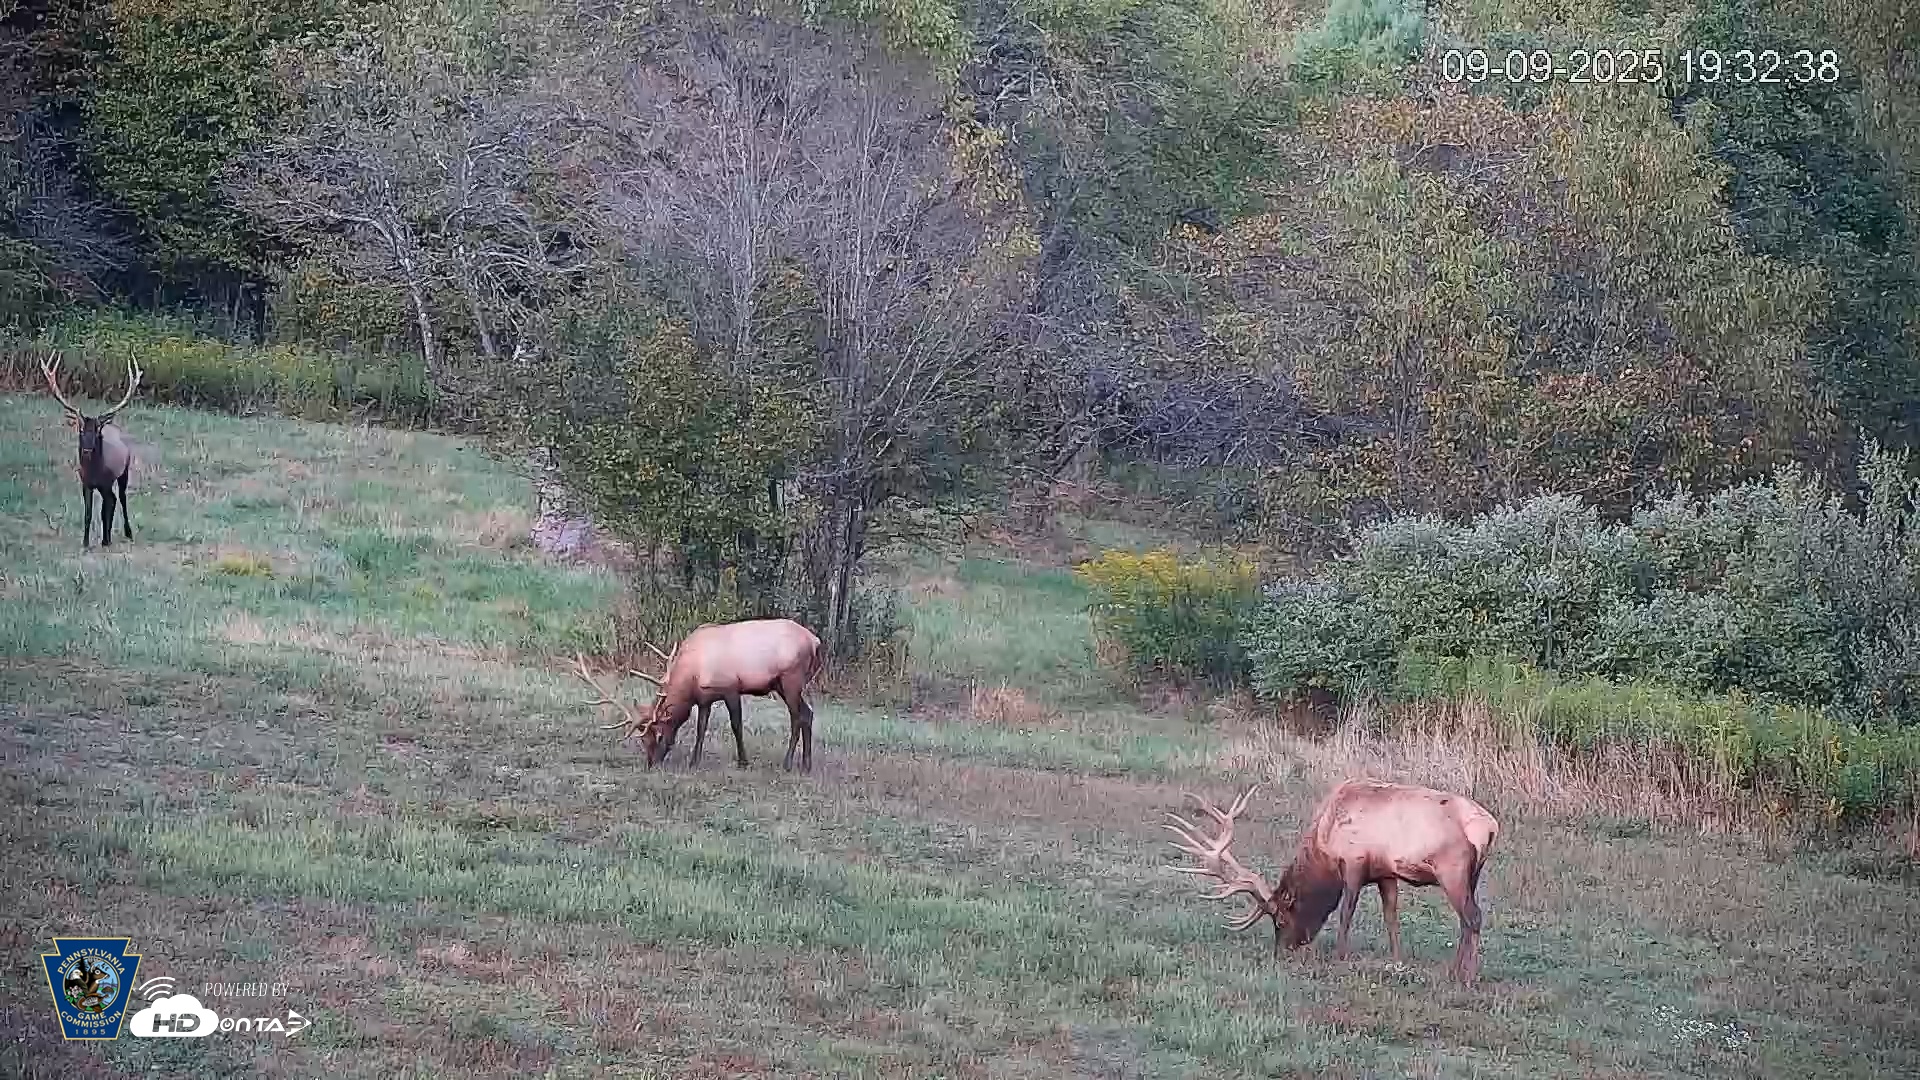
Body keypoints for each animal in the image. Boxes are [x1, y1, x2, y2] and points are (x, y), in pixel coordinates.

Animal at [40, 351, 144, 550]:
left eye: (96, 431)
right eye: (80, 430)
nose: (87, 450)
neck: (95, 471)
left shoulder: (106, 482)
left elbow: (105, 510)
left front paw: (105, 540)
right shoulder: (85, 483)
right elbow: (88, 513)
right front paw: (86, 542)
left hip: (123, 472)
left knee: (121, 499)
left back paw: (126, 533)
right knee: (112, 501)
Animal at [570, 617, 826, 773]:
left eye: (659, 735)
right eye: (643, 740)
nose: (651, 763)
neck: (692, 675)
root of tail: (815, 641)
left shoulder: (731, 687)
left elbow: (736, 725)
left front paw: (743, 762)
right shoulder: (704, 699)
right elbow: (701, 727)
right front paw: (694, 762)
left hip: (791, 679)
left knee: (797, 716)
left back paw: (788, 763)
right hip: (784, 685)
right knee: (808, 713)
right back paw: (806, 764)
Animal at [1163, 777, 1500, 984]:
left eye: (1280, 919)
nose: (1281, 953)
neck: (1324, 843)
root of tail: (1489, 827)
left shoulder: (1353, 863)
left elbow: (1345, 912)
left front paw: (1340, 956)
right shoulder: (1386, 872)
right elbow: (1391, 916)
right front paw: (1397, 960)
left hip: (1451, 869)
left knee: (1472, 917)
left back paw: (1467, 976)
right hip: (1472, 875)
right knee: (1466, 920)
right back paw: (1455, 970)